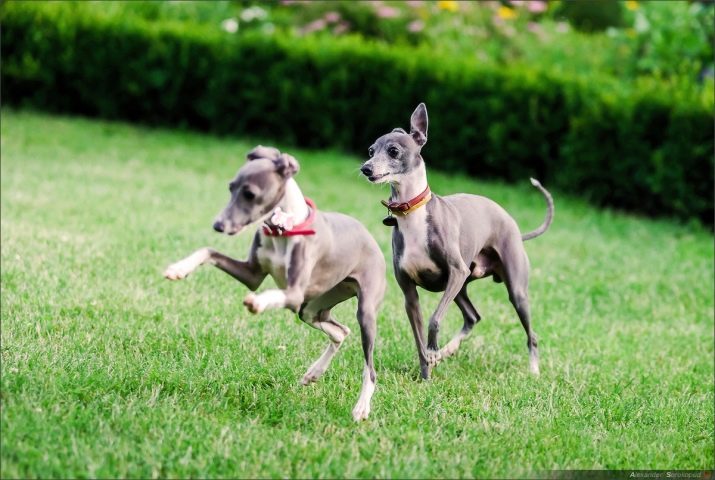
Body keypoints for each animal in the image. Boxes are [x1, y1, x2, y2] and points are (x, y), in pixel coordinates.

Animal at [164, 146, 386, 420]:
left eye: (250, 194)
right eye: (231, 187)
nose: (218, 225)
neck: (285, 229)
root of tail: (370, 237)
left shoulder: (293, 292)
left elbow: (270, 294)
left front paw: (257, 303)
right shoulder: (252, 274)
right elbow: (208, 250)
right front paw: (178, 269)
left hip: (364, 310)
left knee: (370, 366)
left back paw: (361, 407)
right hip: (311, 308)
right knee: (340, 332)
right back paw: (313, 373)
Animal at [360, 103, 553, 380]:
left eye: (393, 150)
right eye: (371, 150)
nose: (366, 168)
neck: (412, 213)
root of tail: (515, 229)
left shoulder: (455, 271)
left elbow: (434, 320)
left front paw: (432, 351)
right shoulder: (409, 293)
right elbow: (418, 338)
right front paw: (426, 375)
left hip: (510, 288)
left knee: (530, 333)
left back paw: (534, 370)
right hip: (463, 284)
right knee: (473, 317)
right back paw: (446, 352)